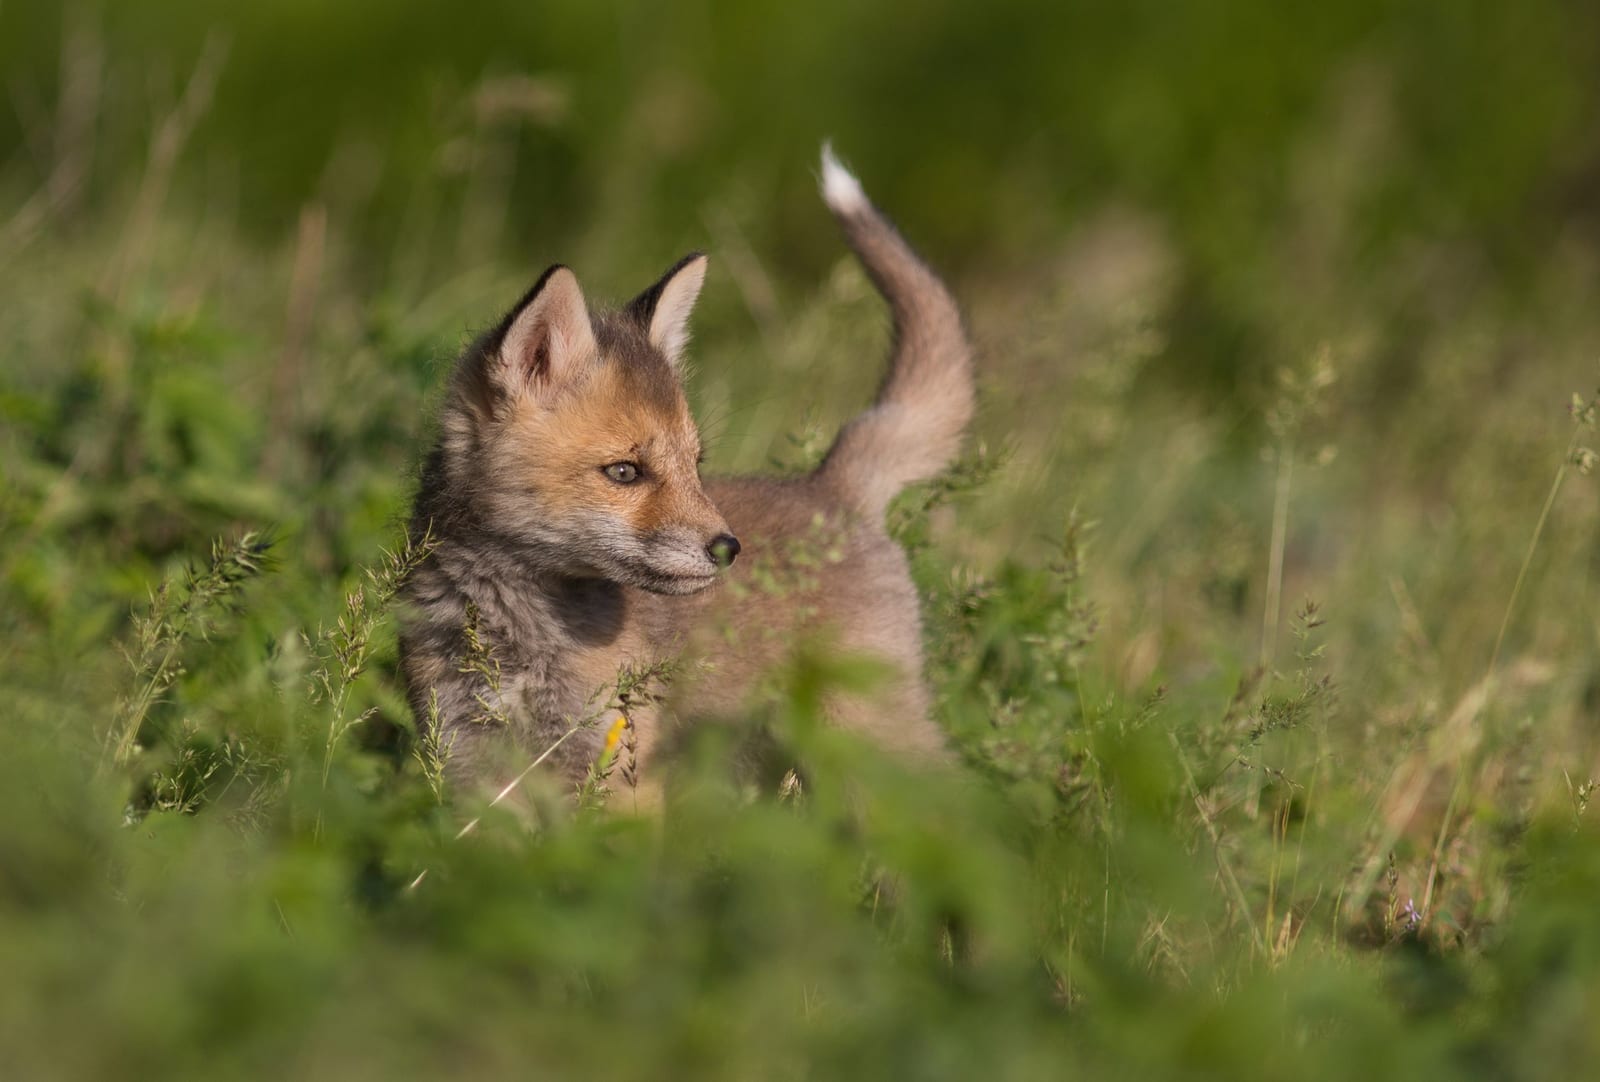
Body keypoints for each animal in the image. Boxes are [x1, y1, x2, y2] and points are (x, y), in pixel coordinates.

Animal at [398, 146, 973, 807]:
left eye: (695, 465)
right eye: (625, 471)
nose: (728, 549)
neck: (519, 627)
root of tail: (831, 486)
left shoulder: (620, 765)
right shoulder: (470, 766)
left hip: (867, 742)